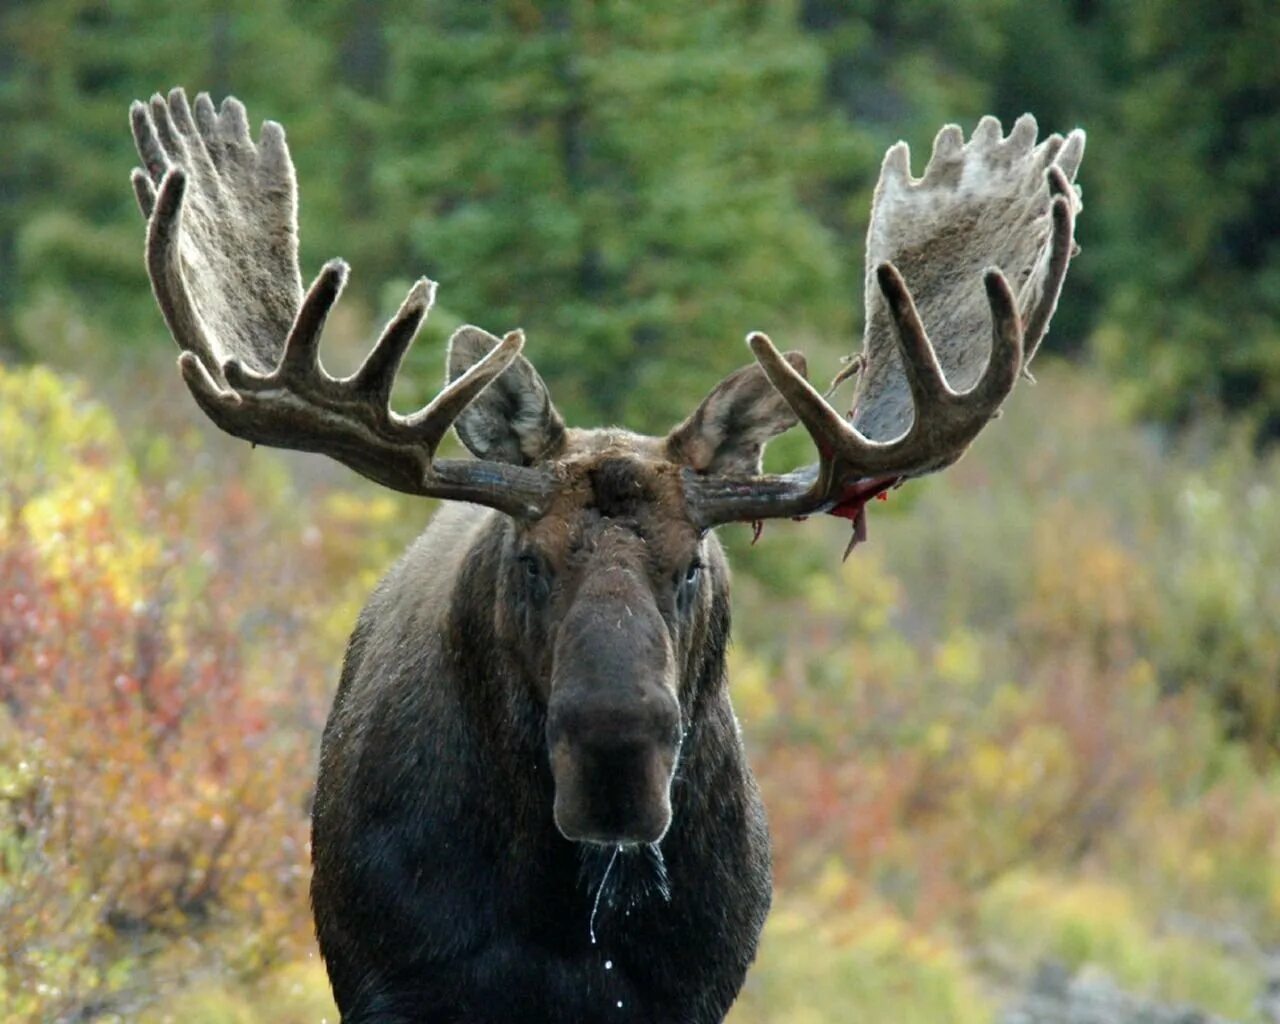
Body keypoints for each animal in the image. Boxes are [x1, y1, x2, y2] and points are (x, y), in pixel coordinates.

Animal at [127, 90, 1080, 1024]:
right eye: (530, 561)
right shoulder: (395, 984)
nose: (616, 760)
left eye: (693, 566)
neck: (559, 915)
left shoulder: (685, 995)